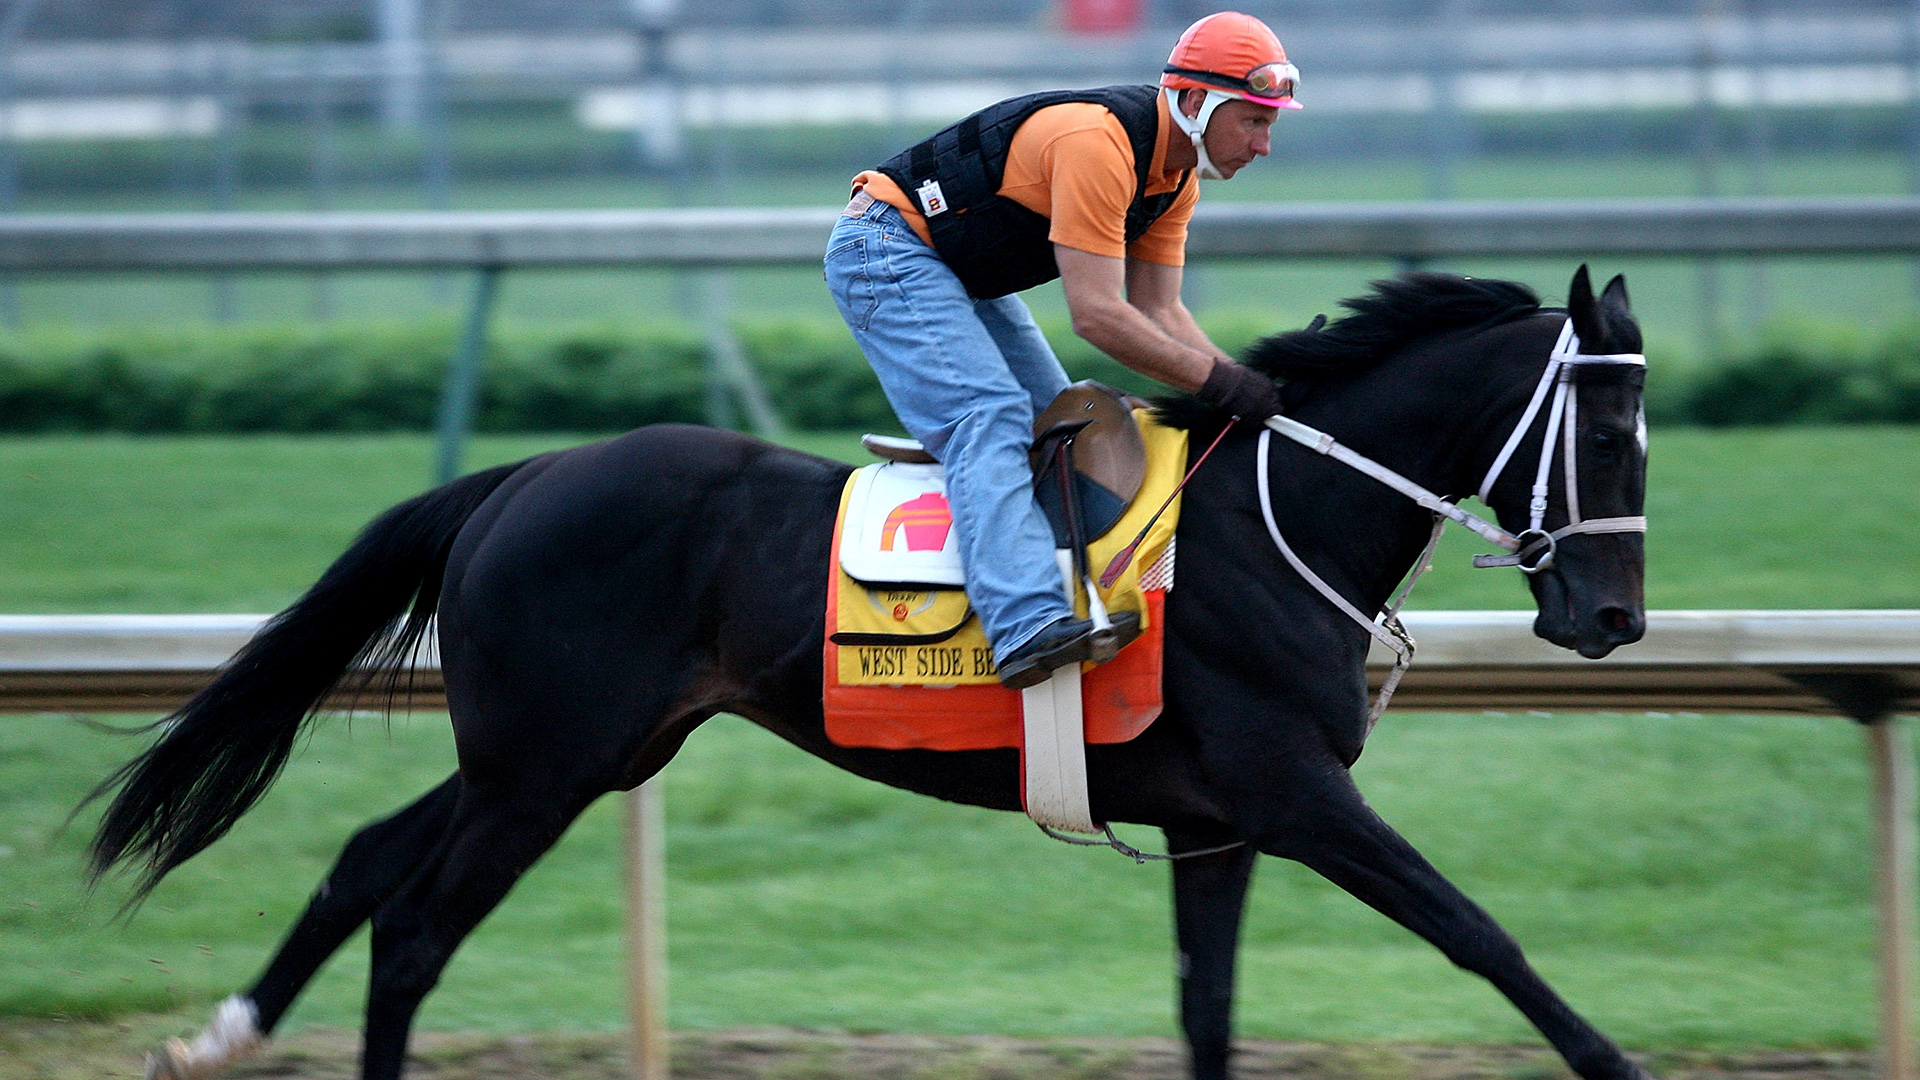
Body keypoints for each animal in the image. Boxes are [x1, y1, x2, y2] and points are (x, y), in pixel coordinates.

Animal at [86, 266, 1650, 1080]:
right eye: (1602, 433)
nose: (1615, 621)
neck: (1277, 522)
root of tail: (522, 477)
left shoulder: (1220, 825)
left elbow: (1208, 1007)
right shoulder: (1297, 791)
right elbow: (1479, 934)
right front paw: (1618, 1062)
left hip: (565, 752)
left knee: (365, 862)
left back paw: (226, 1031)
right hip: (542, 766)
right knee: (414, 929)